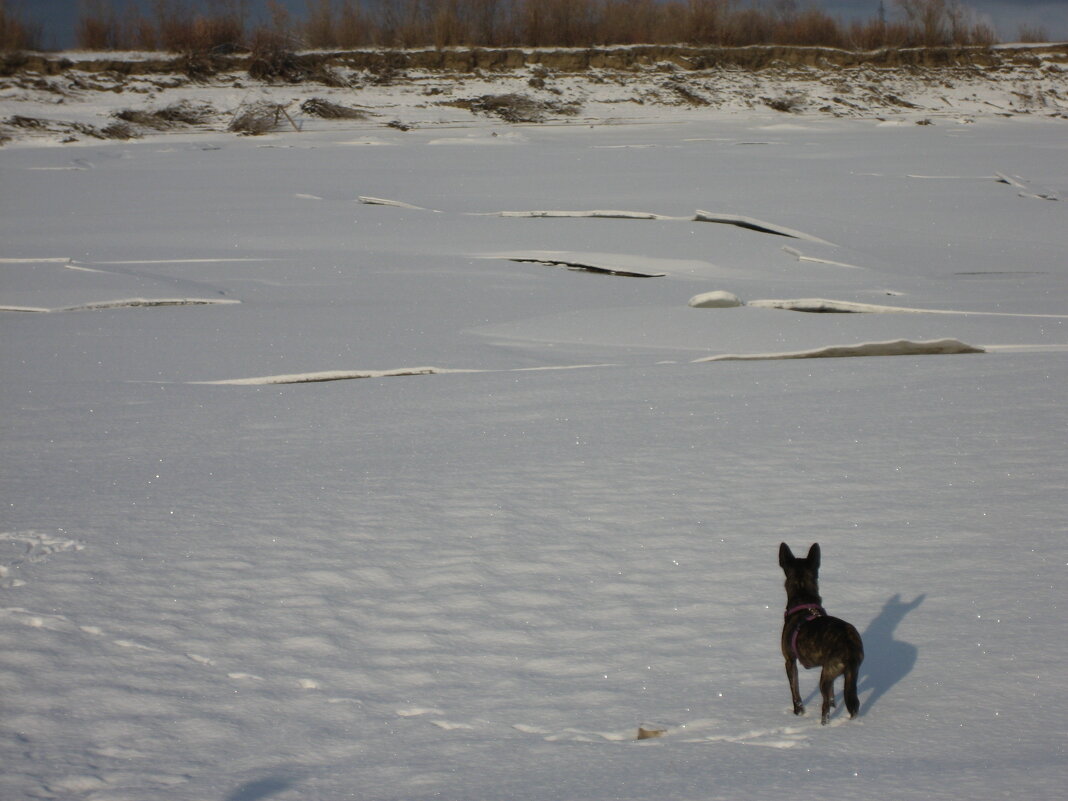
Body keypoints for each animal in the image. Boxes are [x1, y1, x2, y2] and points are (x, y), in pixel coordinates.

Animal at [781, 542, 862, 726]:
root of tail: (850, 645)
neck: (803, 599)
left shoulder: (789, 661)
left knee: (825, 707)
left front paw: (798, 712)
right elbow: (832, 697)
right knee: (850, 702)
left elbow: (794, 690)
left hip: (826, 674)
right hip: (849, 674)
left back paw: (824, 724)